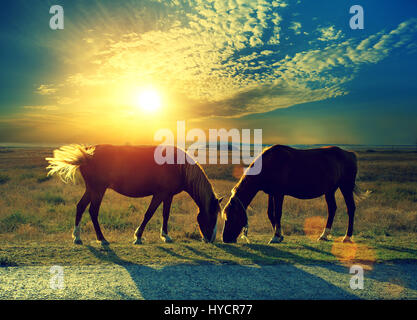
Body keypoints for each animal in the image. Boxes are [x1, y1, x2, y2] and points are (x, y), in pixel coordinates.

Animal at [45, 145, 221, 245]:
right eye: (212, 216)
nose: (211, 239)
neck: (178, 166)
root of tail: (88, 154)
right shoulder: (159, 194)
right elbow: (148, 214)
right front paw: (138, 237)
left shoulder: (168, 196)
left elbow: (165, 215)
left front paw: (165, 236)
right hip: (98, 189)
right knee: (93, 212)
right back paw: (102, 239)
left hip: (92, 189)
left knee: (80, 207)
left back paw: (77, 237)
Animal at [223, 146, 368, 244]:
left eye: (231, 217)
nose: (225, 239)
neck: (269, 163)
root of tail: (350, 154)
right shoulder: (271, 193)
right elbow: (270, 213)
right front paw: (279, 235)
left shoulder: (279, 194)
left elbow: (278, 213)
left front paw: (276, 236)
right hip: (330, 191)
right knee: (332, 209)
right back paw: (324, 235)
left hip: (346, 187)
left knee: (351, 208)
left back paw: (347, 237)